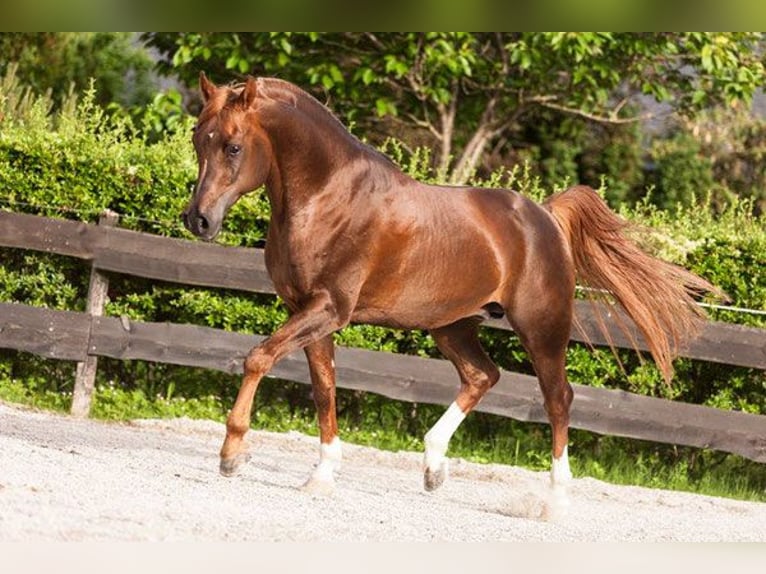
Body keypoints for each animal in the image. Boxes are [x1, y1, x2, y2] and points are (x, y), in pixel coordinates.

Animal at [182, 72, 719, 506]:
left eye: (233, 146)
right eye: (197, 139)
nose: (198, 220)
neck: (327, 196)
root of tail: (546, 217)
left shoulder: (329, 308)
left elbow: (259, 357)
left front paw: (232, 453)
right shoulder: (308, 309)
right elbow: (324, 389)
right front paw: (320, 478)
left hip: (542, 328)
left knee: (558, 399)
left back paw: (553, 501)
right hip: (453, 326)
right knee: (483, 376)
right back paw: (434, 466)